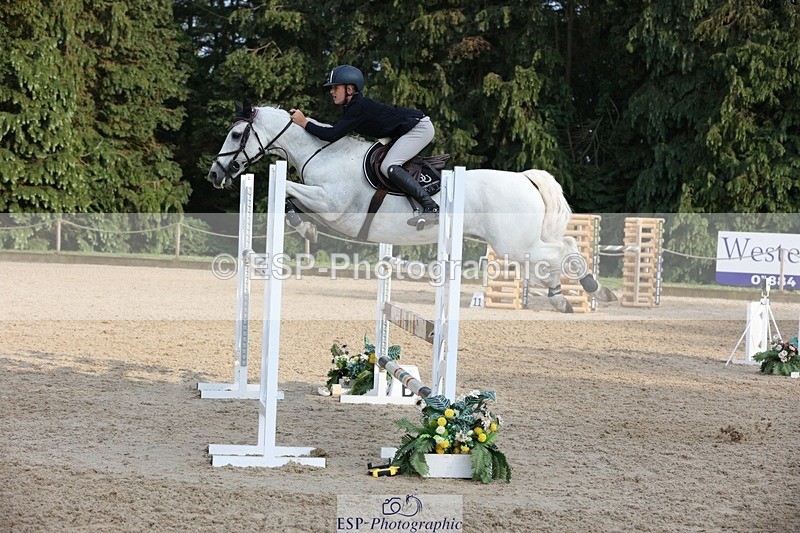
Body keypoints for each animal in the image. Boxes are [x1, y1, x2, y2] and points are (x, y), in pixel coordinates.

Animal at [207, 103, 617, 312]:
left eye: (235, 134)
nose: (215, 174)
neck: (323, 152)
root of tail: (526, 179)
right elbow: (290, 197)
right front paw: (304, 227)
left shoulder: (332, 204)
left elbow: (288, 194)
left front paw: (304, 227)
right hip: (518, 245)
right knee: (556, 253)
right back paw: (563, 296)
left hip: (513, 244)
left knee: (561, 252)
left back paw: (594, 290)